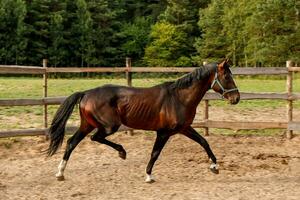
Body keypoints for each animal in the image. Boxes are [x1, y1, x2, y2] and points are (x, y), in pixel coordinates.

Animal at [46, 59, 239, 183]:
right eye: (227, 77)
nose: (236, 98)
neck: (179, 98)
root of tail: (86, 93)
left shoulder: (184, 128)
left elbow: (204, 141)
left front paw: (214, 167)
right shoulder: (163, 132)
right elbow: (155, 153)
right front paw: (148, 176)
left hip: (87, 125)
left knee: (72, 142)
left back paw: (60, 173)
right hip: (109, 126)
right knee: (95, 138)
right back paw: (122, 152)